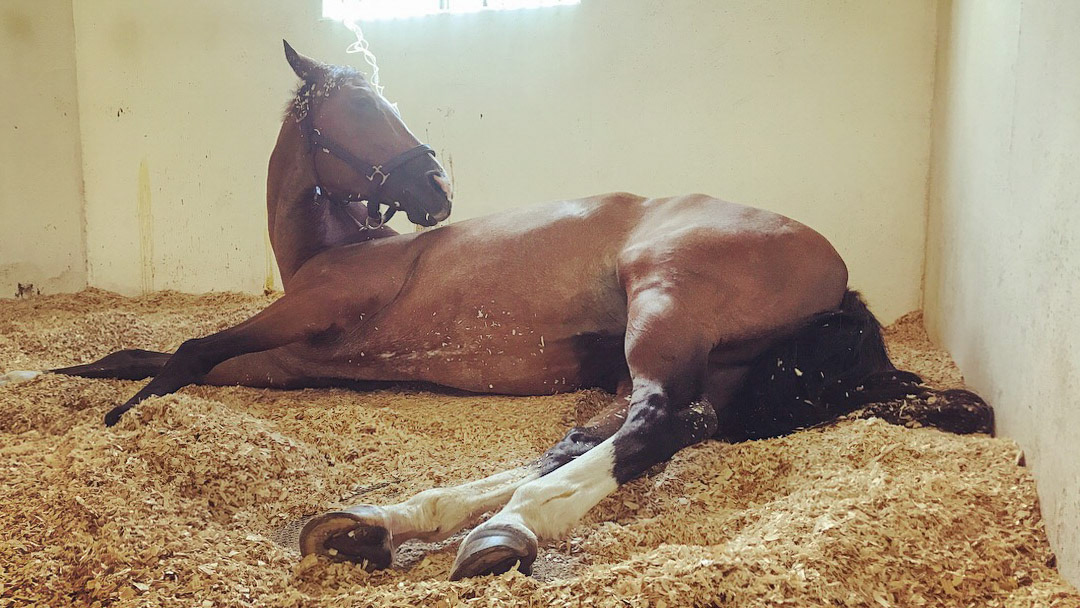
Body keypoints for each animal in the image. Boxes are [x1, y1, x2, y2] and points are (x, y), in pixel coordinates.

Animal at [5, 42, 991, 580]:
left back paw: (498, 531)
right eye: (358, 109)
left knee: (656, 422)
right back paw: (388, 527)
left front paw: (119, 421)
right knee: (601, 436)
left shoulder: (284, 332)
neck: (339, 249)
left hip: (664, 310)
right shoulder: (283, 359)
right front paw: (44, 374)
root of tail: (839, 279)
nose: (434, 190)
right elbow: (142, 352)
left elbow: (179, 351)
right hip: (717, 366)